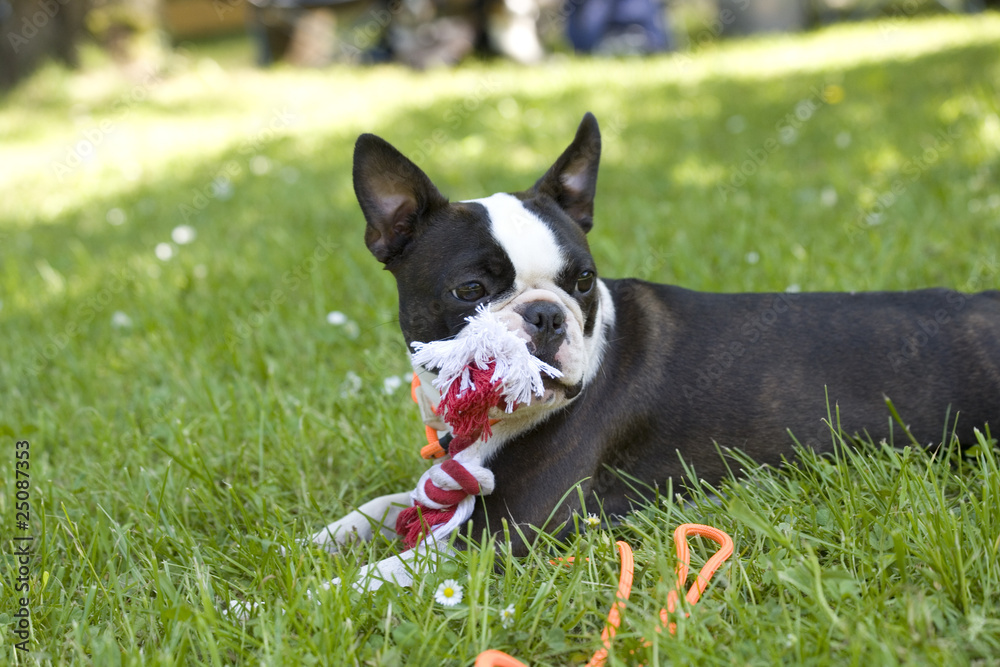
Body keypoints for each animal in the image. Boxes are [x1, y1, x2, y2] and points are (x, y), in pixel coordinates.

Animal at [308, 113, 996, 588]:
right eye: (470, 290)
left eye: (583, 281)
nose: (545, 315)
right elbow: (380, 507)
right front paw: (308, 544)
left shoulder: (507, 529)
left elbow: (378, 574)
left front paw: (292, 599)